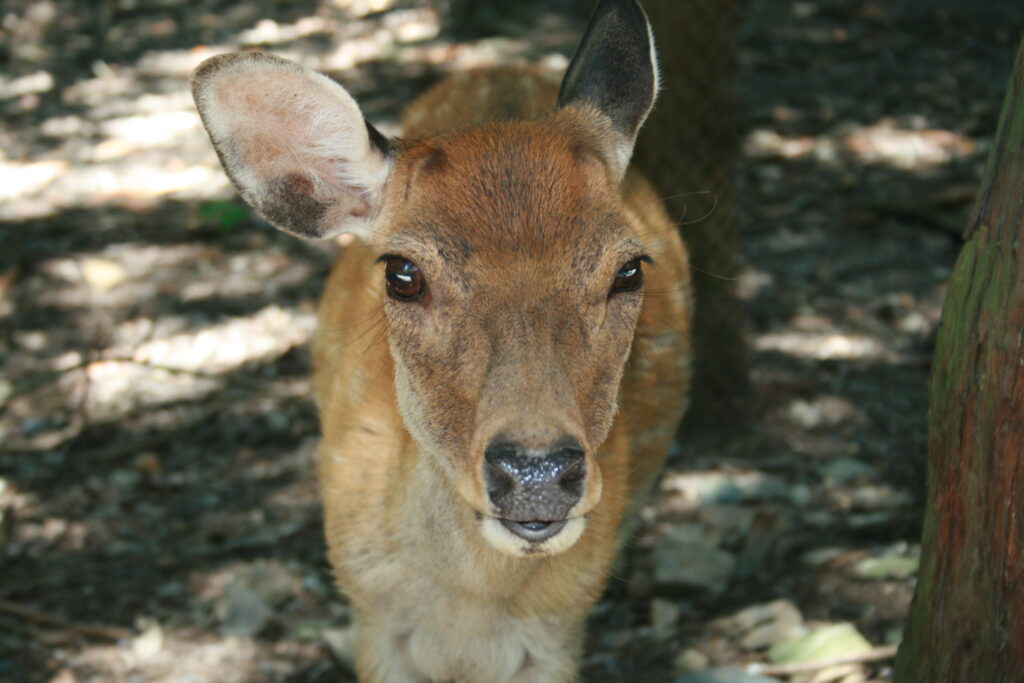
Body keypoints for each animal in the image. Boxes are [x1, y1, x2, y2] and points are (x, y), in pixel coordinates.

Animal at [190, 0, 688, 679]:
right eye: (403, 274)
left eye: (630, 269)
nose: (535, 473)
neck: (466, 621)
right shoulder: (372, 619)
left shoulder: (559, 635)